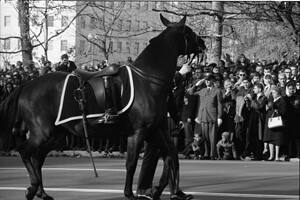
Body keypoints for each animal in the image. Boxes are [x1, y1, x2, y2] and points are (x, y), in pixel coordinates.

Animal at [0, 14, 205, 200]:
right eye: (188, 31)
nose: (203, 43)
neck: (149, 78)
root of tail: (27, 85)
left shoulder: (155, 130)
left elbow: (171, 156)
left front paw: (158, 190)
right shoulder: (138, 132)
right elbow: (132, 163)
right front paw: (131, 193)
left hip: (55, 135)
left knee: (37, 158)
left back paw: (42, 192)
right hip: (43, 133)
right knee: (25, 152)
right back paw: (33, 188)